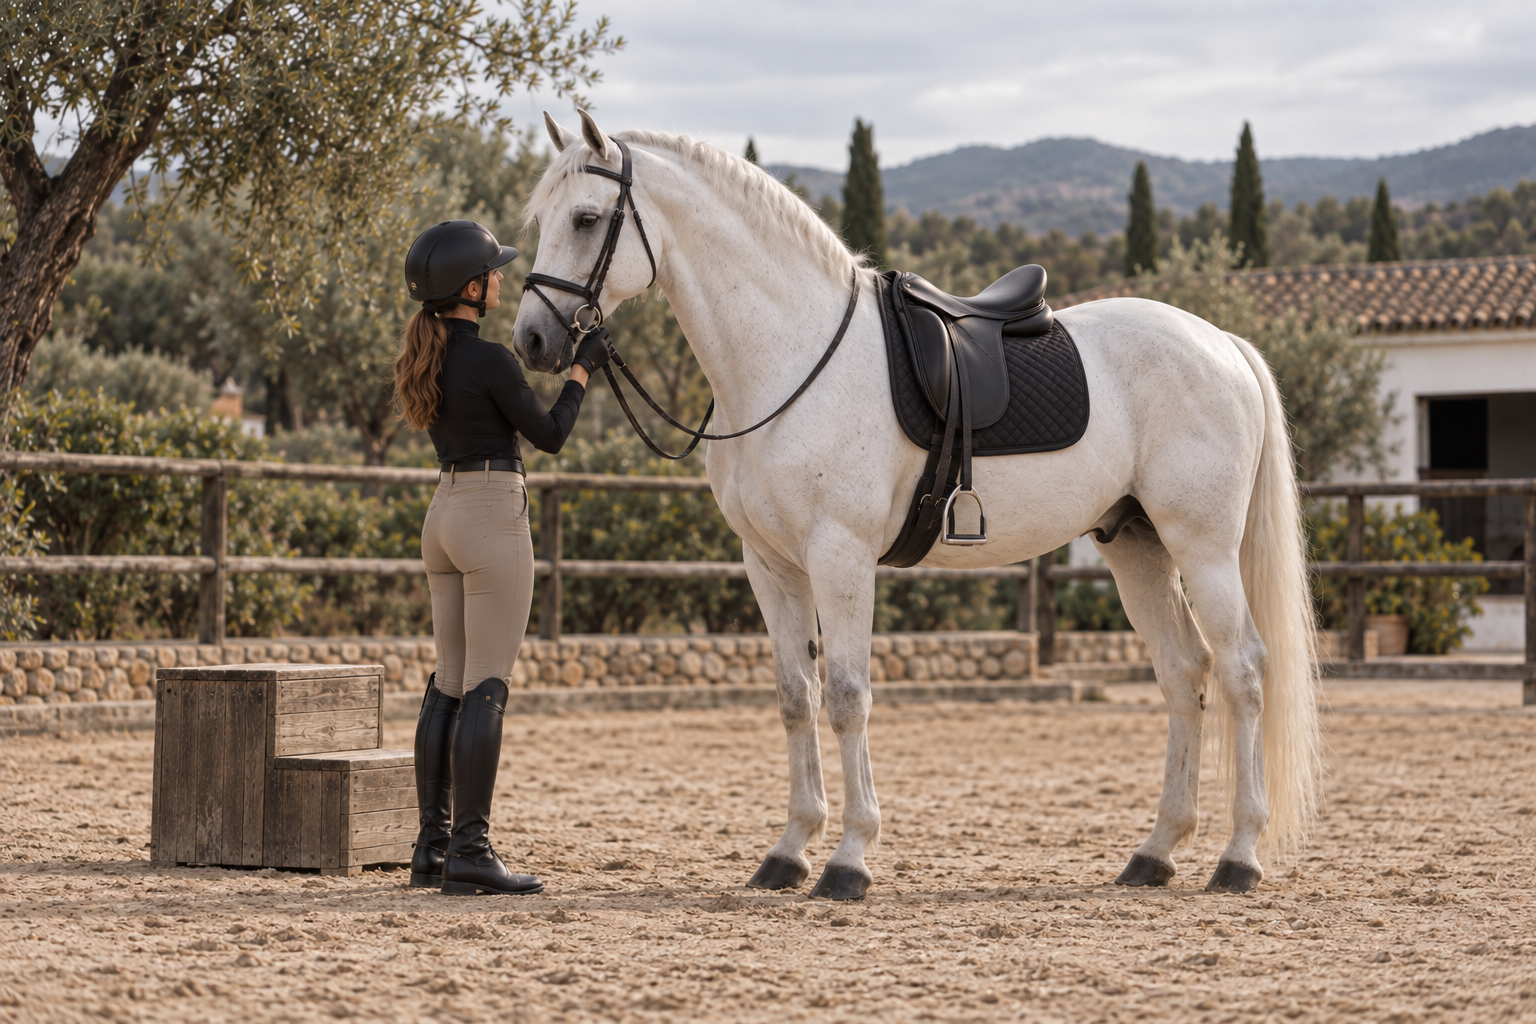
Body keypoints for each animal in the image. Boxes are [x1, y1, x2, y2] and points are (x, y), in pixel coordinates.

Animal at [512, 110, 1321, 900]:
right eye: (541, 217)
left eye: (587, 217)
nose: (532, 340)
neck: (792, 357)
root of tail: (1221, 342)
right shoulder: (770, 565)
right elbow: (794, 696)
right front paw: (788, 852)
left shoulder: (840, 556)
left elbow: (846, 695)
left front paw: (848, 860)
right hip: (1135, 546)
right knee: (1185, 673)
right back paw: (1155, 853)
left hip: (1202, 546)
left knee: (1244, 670)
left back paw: (1239, 856)